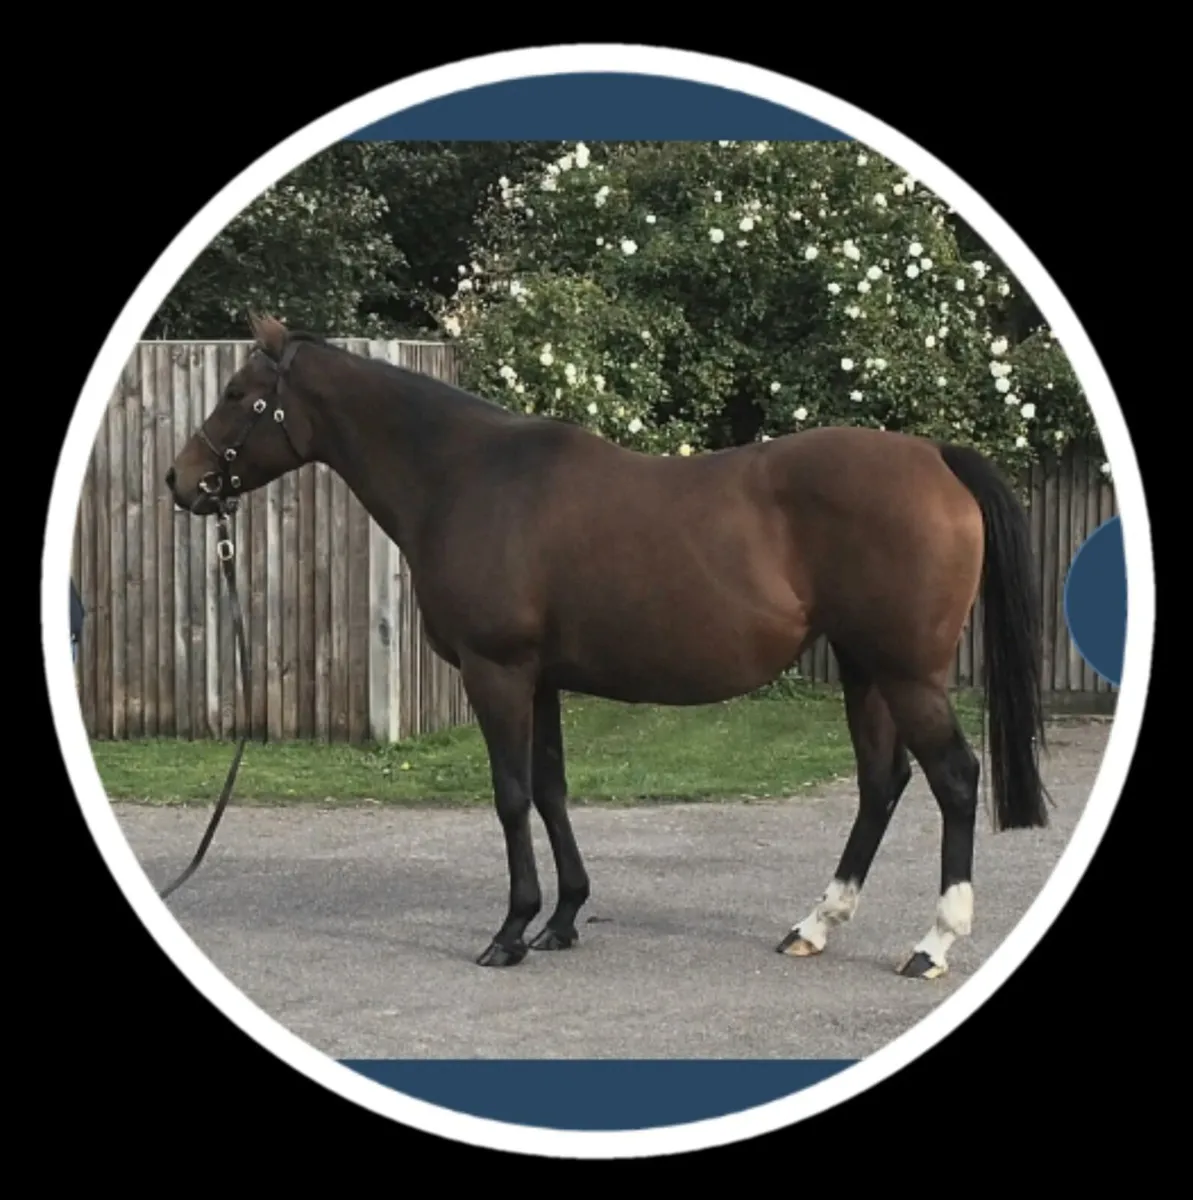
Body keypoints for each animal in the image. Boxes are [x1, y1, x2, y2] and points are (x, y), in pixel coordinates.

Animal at [165, 313, 1050, 981]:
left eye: (240, 395)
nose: (181, 481)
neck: (465, 476)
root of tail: (935, 458)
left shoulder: (497, 673)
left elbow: (510, 795)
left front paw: (510, 932)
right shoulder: (541, 679)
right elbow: (552, 790)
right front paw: (561, 919)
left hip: (907, 674)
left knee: (954, 780)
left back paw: (932, 943)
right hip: (866, 672)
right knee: (880, 782)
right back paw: (815, 924)